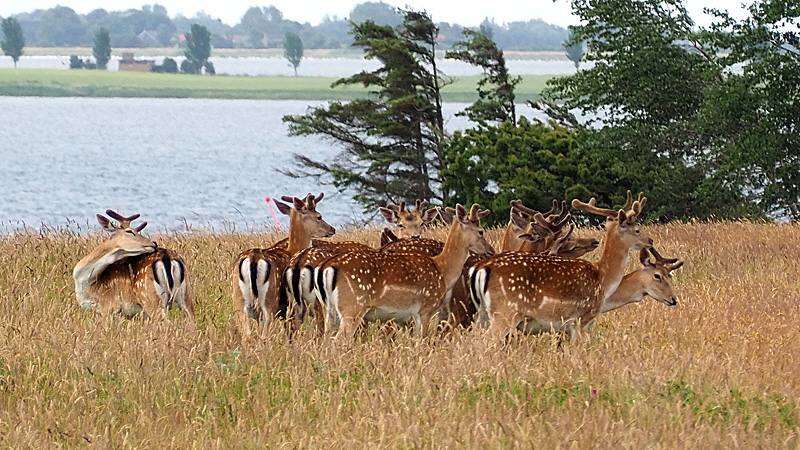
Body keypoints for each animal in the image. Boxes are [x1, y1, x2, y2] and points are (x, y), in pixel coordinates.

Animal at [230, 192, 336, 336]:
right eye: (319, 216)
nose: (332, 229)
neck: (292, 250)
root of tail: (253, 259)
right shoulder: (289, 307)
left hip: (238, 299)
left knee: (247, 333)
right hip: (270, 300)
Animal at [318, 203, 494, 338]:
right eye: (480, 231)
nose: (491, 250)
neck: (442, 269)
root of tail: (326, 268)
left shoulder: (405, 318)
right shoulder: (425, 308)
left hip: (329, 309)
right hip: (353, 306)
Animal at [472, 190, 652, 342]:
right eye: (637, 229)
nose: (650, 240)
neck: (603, 277)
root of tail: (482, 269)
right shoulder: (580, 319)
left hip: (482, 314)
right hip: (505, 312)